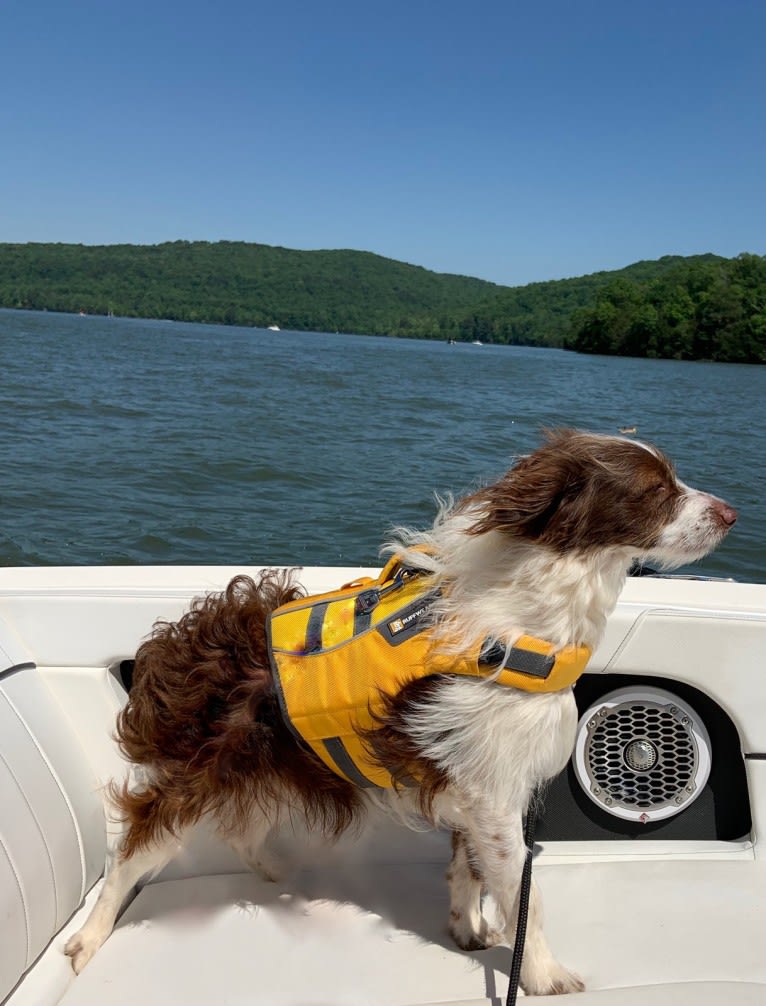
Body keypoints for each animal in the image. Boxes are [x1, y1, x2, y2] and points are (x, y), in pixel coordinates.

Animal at [64, 428, 736, 993]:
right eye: (656, 490)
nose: (731, 513)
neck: (528, 618)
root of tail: (188, 636)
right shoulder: (493, 791)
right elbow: (523, 893)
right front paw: (543, 976)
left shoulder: (473, 782)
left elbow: (469, 869)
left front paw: (467, 930)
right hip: (202, 771)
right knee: (136, 849)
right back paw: (88, 939)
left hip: (263, 764)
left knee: (240, 828)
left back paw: (274, 873)